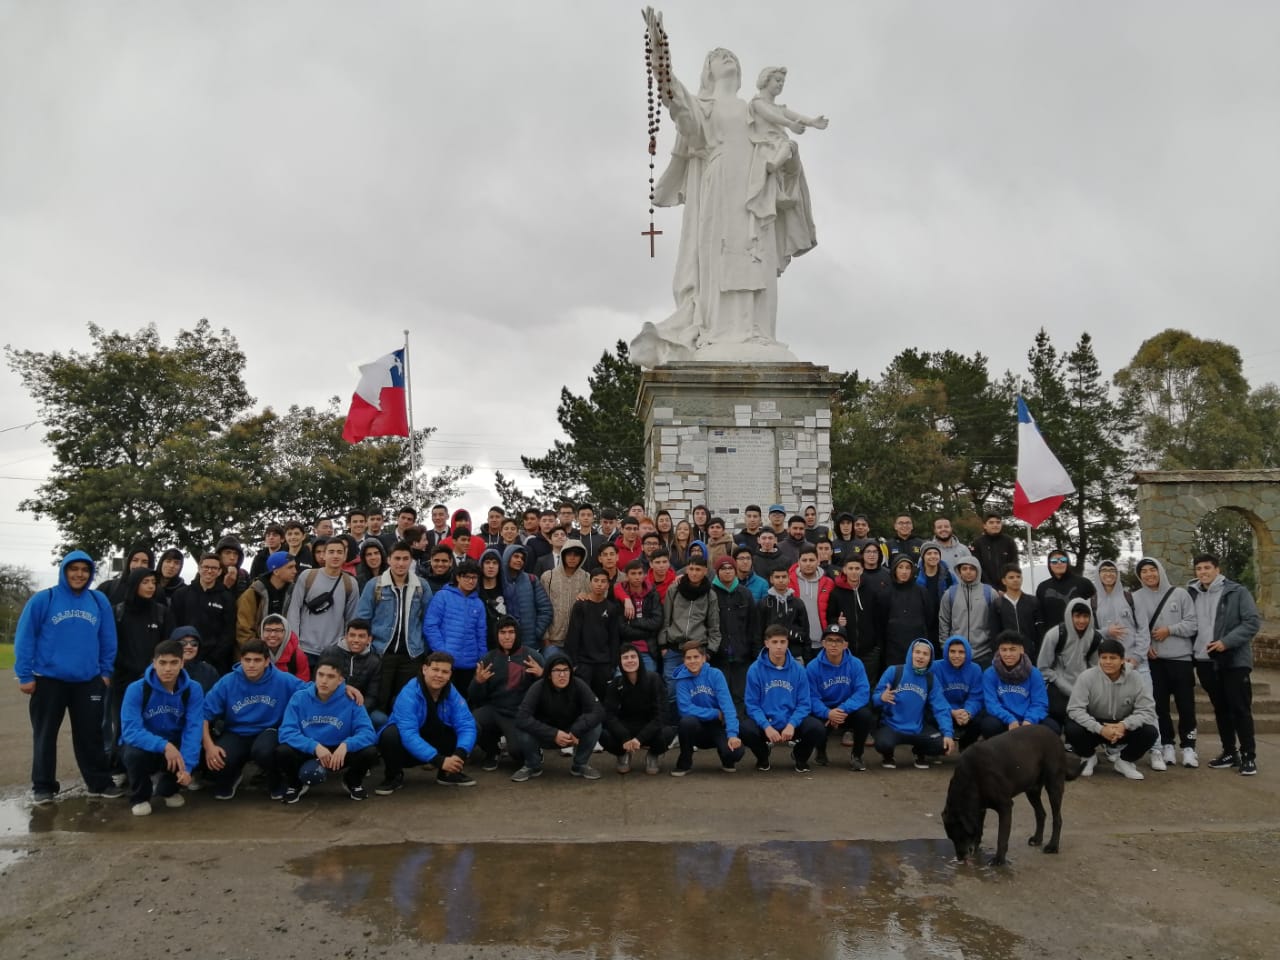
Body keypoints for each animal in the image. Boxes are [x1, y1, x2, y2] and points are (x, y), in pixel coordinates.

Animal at [942, 727, 1080, 870]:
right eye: (951, 838)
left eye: (961, 836)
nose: (960, 858)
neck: (971, 776)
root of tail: (1055, 735)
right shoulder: (980, 808)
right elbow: (979, 830)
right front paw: (976, 849)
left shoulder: (1005, 806)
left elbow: (1001, 837)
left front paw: (999, 860)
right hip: (1032, 790)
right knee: (1041, 814)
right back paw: (1037, 839)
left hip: (1054, 786)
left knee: (1057, 819)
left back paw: (1053, 846)